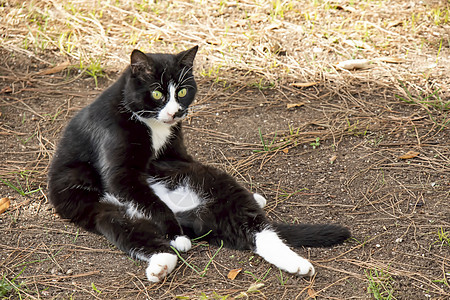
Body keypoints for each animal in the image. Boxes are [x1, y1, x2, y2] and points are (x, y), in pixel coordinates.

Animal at [48, 45, 352, 282]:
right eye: (157, 94)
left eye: (182, 92)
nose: (175, 112)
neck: (151, 124)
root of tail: (190, 214)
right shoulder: (120, 171)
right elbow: (143, 195)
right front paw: (171, 231)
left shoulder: (175, 152)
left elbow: (181, 158)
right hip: (101, 207)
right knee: (134, 231)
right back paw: (166, 256)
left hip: (213, 183)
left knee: (256, 230)